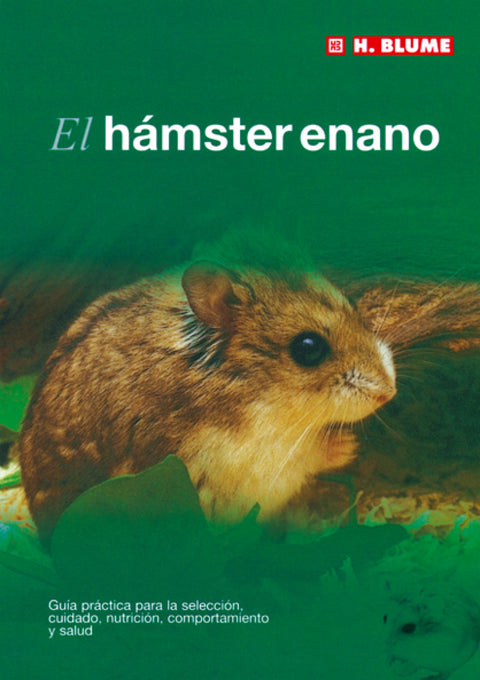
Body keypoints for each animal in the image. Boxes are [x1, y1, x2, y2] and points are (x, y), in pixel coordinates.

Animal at [18, 261, 397, 546]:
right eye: (308, 348)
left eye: (353, 306)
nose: (389, 391)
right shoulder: (255, 465)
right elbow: (308, 457)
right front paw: (349, 445)